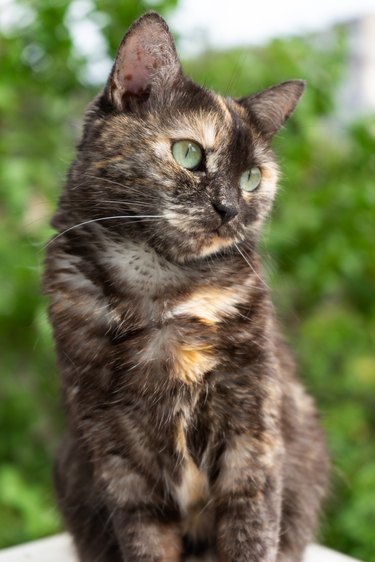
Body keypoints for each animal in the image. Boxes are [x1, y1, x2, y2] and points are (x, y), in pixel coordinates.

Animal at [44, 12, 328, 560]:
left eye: (252, 178)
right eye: (189, 153)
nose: (230, 209)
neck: (162, 293)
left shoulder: (252, 421)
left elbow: (252, 524)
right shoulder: (111, 443)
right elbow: (144, 537)